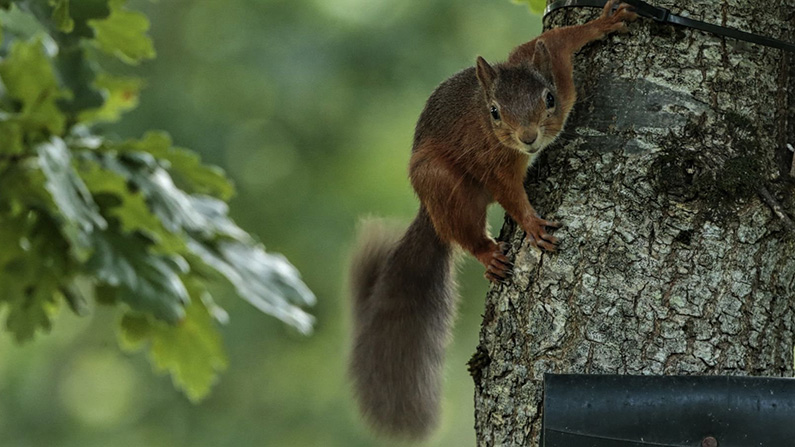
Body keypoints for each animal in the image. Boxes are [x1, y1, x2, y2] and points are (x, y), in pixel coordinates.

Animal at [352, 1, 636, 440]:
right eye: (495, 112)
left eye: (549, 98)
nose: (529, 137)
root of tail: (427, 210)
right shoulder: (493, 162)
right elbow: (510, 195)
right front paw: (532, 225)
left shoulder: (550, 67)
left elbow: (554, 40)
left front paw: (603, 22)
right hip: (442, 183)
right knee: (462, 230)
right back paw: (487, 253)